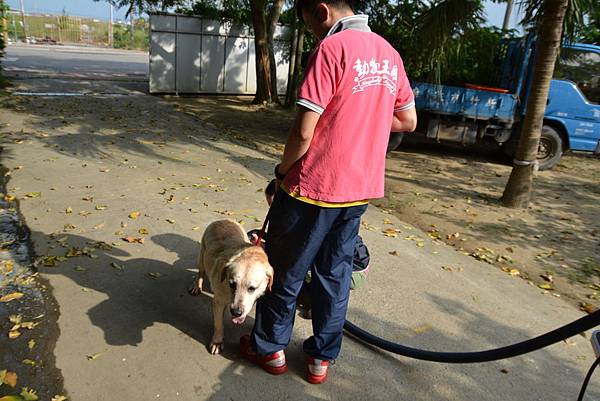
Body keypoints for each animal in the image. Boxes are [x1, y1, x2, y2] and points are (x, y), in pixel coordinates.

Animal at [190, 219, 274, 354]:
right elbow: (219, 325)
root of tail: (222, 220)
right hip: (202, 256)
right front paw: (217, 341)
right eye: (232, 284)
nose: (236, 312)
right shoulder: (218, 303)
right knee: (200, 272)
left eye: (252, 288)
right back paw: (197, 286)